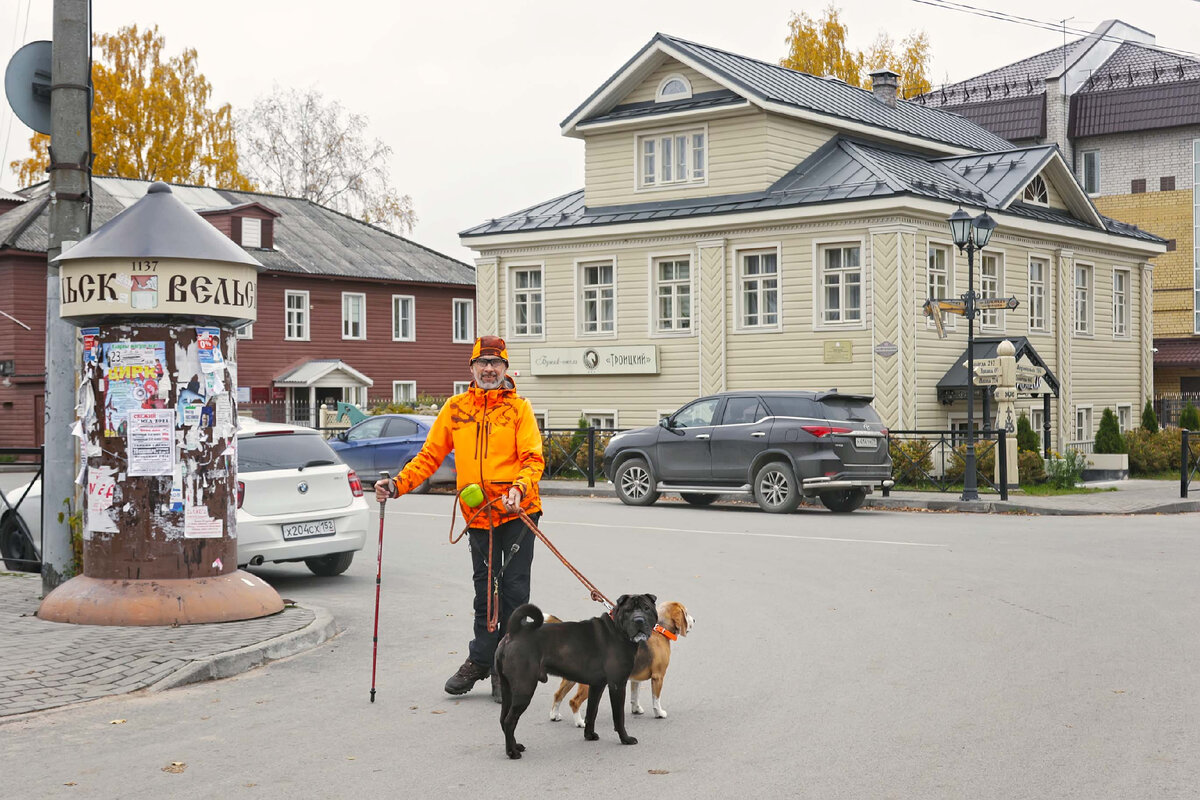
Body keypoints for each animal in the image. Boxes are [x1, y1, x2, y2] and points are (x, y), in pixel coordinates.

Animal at [494, 597, 657, 762]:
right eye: (628, 610)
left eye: (646, 608)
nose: (639, 620)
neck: (618, 631)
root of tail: (514, 633)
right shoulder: (617, 685)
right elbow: (618, 716)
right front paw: (625, 739)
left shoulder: (597, 686)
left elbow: (592, 711)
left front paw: (589, 735)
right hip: (524, 689)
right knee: (510, 721)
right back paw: (512, 752)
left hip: (508, 689)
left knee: (503, 718)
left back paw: (515, 745)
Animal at [547, 599, 696, 724]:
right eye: (686, 612)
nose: (694, 620)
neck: (660, 630)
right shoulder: (658, 677)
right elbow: (656, 699)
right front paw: (659, 713)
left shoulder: (636, 679)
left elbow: (635, 696)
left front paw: (636, 709)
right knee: (574, 701)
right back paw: (580, 722)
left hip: (570, 679)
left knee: (558, 695)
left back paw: (554, 715)